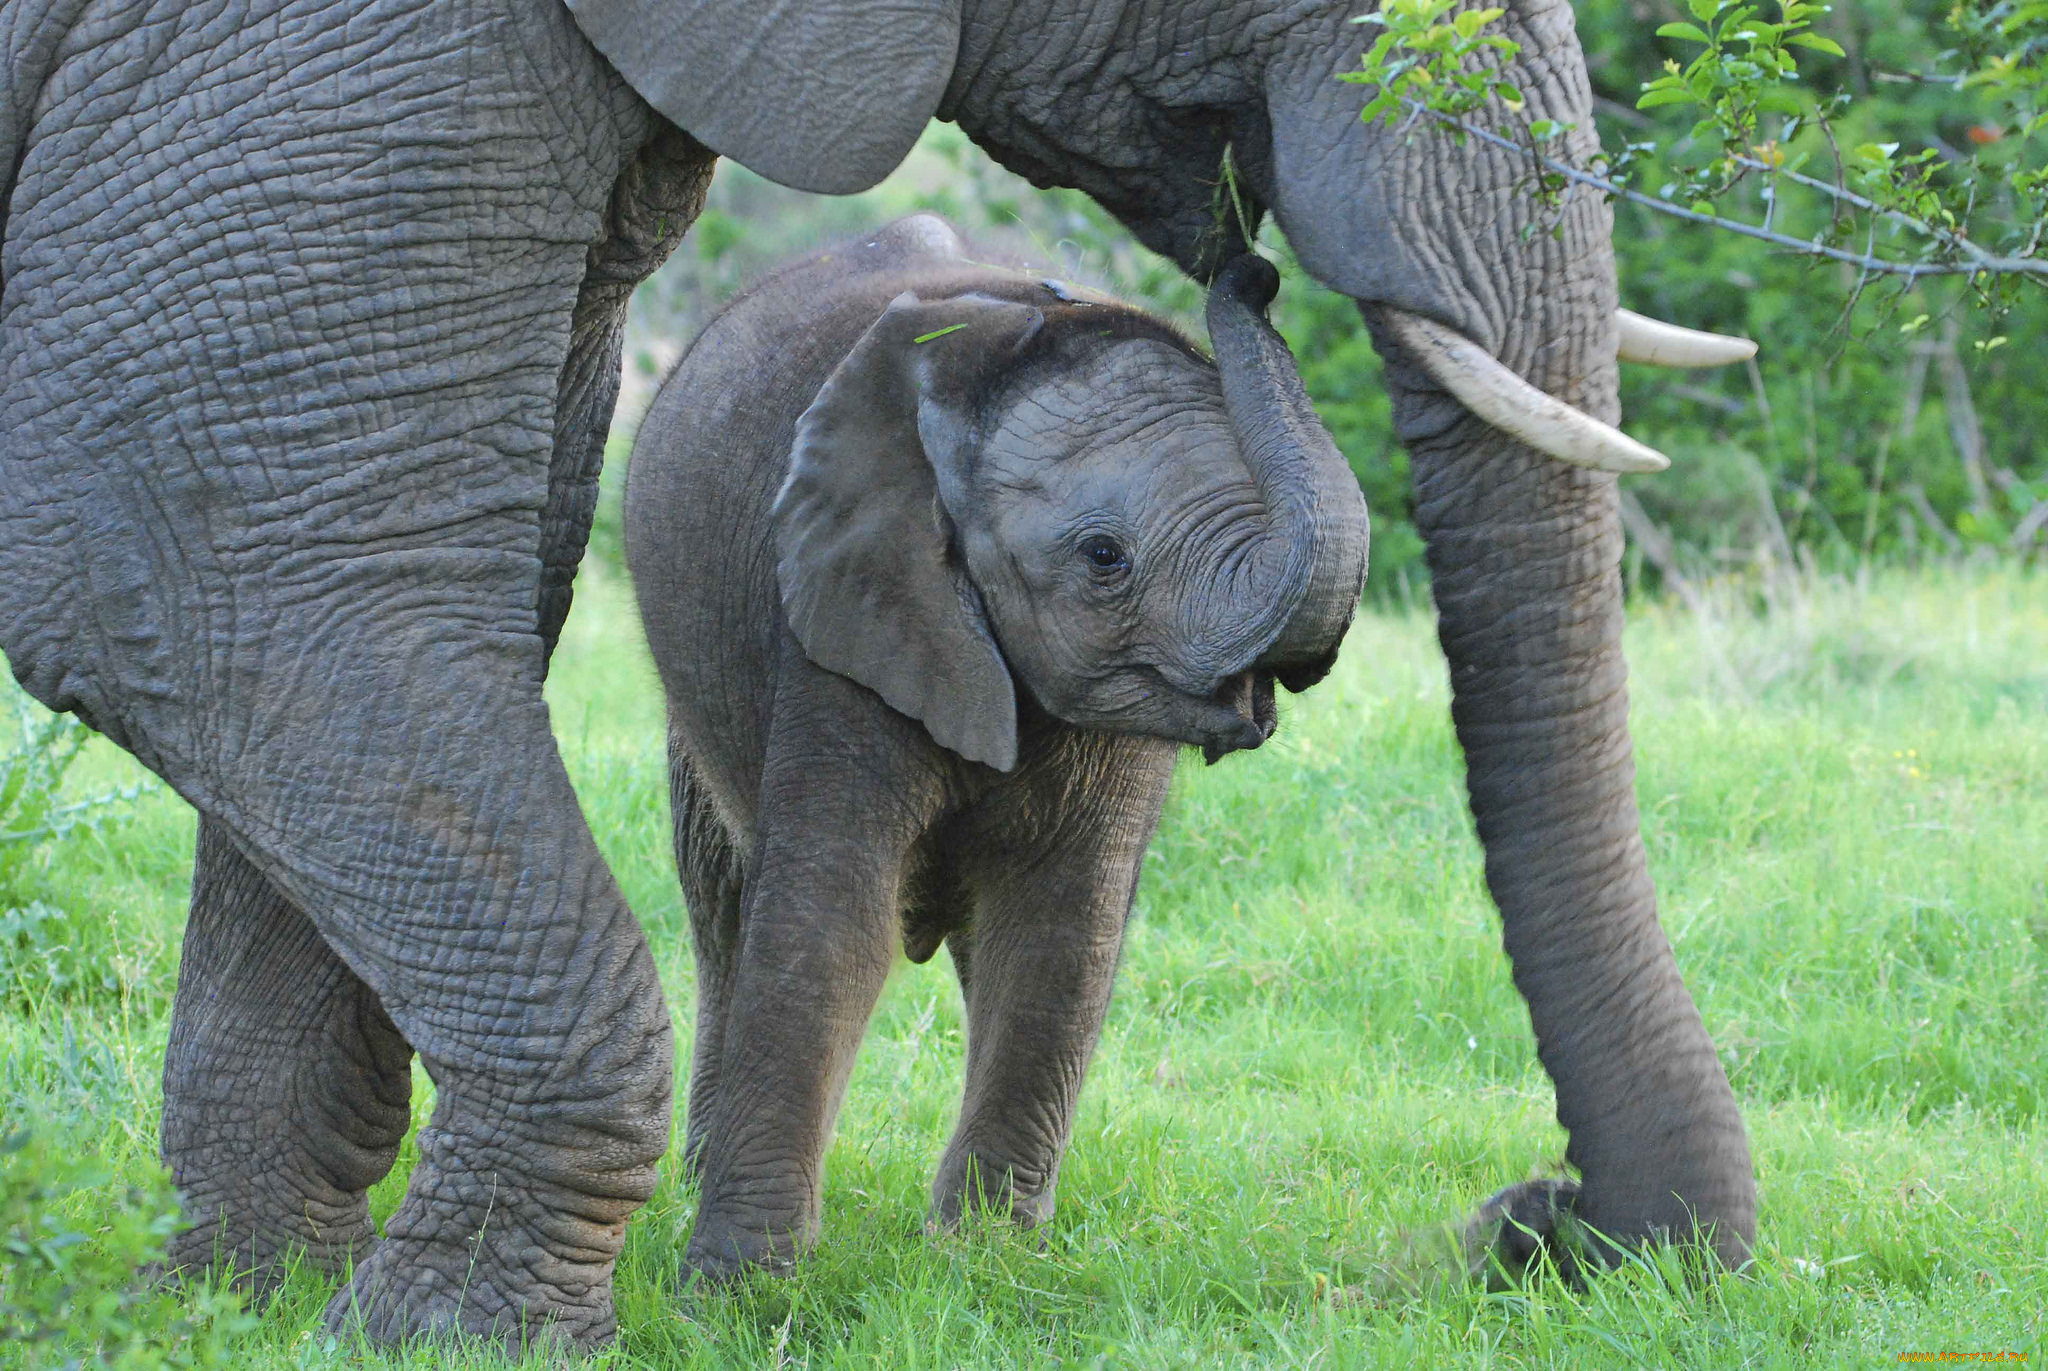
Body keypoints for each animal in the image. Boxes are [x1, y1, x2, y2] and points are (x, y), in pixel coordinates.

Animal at [614, 211, 1368, 1270]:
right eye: (1105, 557)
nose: (1253, 263)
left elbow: (1060, 923)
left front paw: (982, 1263)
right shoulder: (840, 610)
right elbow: (831, 920)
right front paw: (740, 1285)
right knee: (720, 900)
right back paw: (694, 1179)